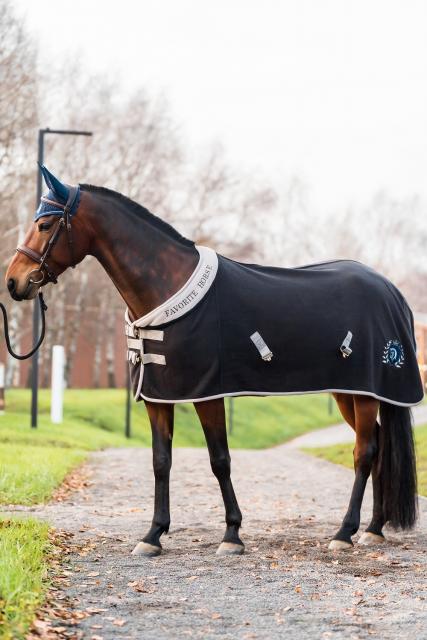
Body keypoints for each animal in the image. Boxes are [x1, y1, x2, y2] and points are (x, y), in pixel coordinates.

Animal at [5, 166, 423, 557]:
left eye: (44, 224)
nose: (13, 282)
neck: (167, 287)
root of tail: (391, 291)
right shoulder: (159, 396)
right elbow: (161, 461)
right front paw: (153, 535)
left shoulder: (207, 394)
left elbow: (219, 460)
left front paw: (232, 535)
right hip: (348, 392)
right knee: (378, 446)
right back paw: (373, 528)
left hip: (366, 394)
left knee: (364, 453)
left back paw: (345, 532)